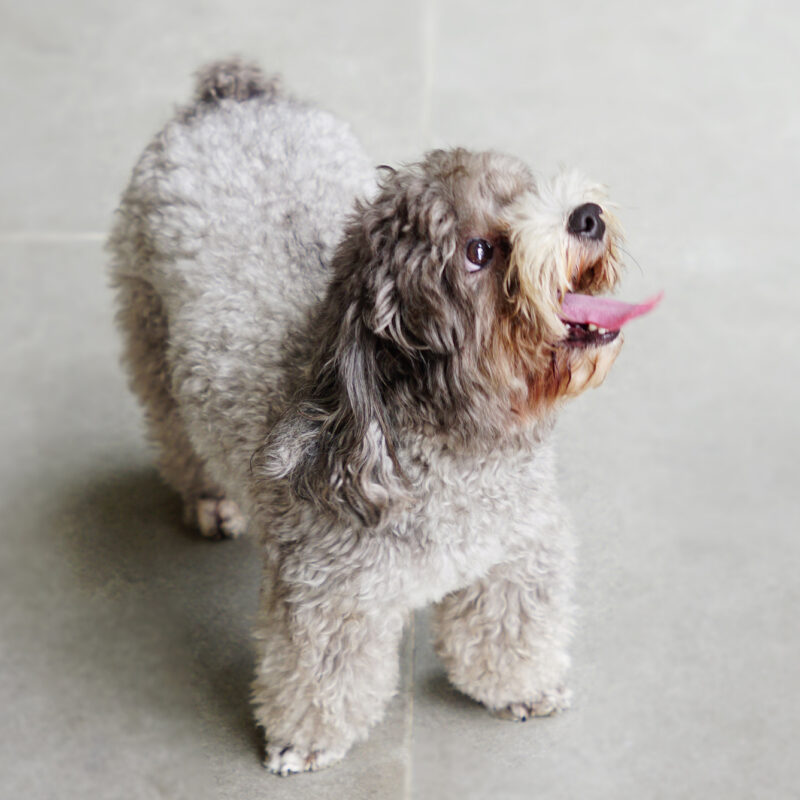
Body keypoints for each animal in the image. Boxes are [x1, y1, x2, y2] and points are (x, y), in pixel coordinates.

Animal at [109, 57, 660, 776]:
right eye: (478, 252)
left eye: (527, 190)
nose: (586, 215)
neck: (456, 441)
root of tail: (232, 94)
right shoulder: (329, 596)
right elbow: (319, 679)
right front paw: (303, 741)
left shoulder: (517, 551)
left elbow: (508, 630)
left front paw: (522, 687)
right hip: (150, 335)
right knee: (176, 434)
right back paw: (210, 500)